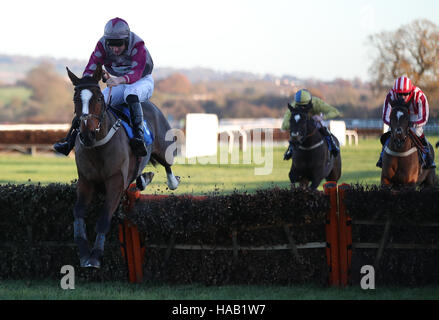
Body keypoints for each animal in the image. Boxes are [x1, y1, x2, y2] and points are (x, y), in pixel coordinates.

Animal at [67, 63, 180, 268]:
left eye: (98, 98)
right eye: (76, 100)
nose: (87, 134)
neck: (98, 145)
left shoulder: (115, 182)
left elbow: (104, 217)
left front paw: (95, 256)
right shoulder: (86, 180)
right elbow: (78, 211)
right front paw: (84, 251)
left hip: (164, 148)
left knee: (168, 164)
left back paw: (171, 182)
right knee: (139, 175)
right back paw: (143, 178)